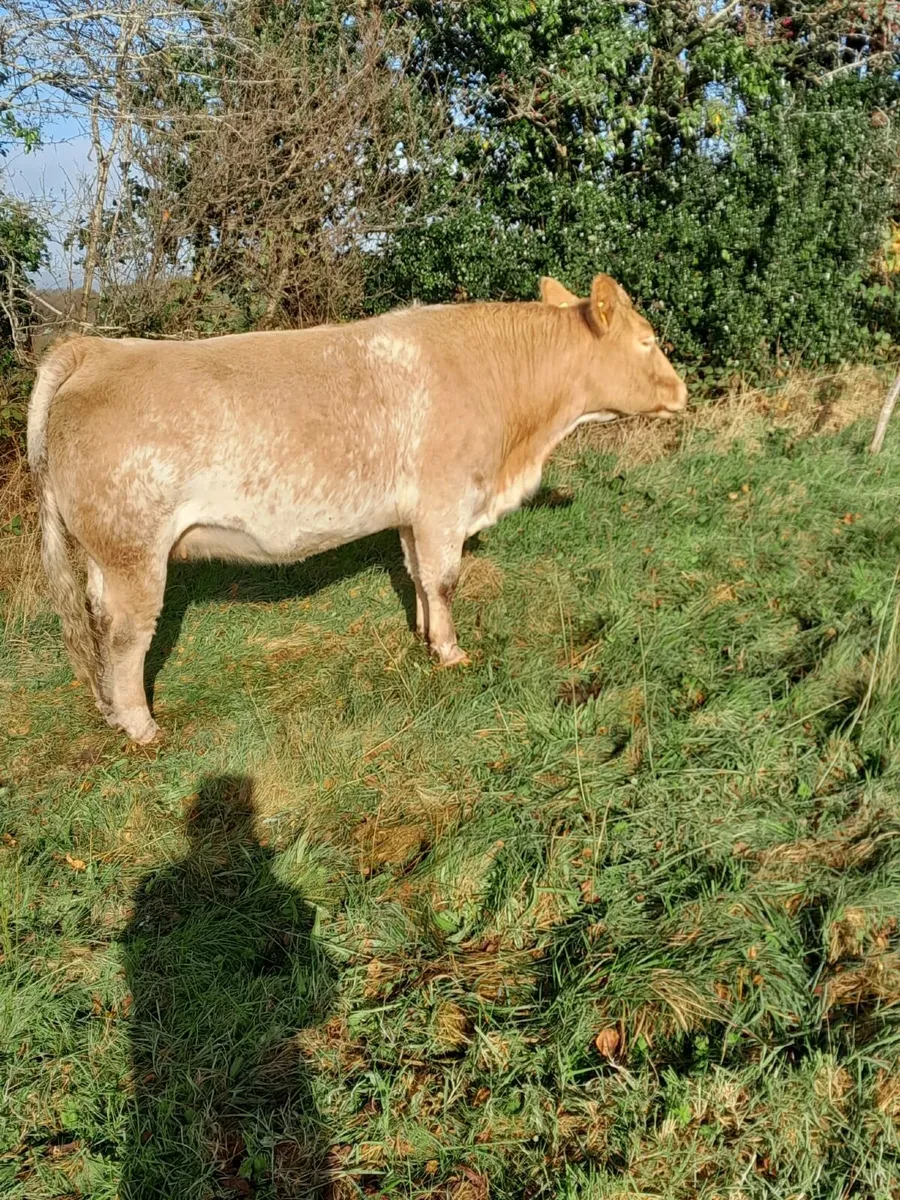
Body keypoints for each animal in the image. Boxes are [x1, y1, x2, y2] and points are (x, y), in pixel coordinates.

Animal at [27, 273, 687, 743]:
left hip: (103, 557)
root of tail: (96, 350)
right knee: (126, 638)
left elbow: (419, 577)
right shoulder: (446, 502)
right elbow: (445, 579)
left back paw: (112, 711)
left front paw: (424, 636)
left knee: (99, 624)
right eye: (648, 340)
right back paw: (140, 726)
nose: (682, 391)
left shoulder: (413, 514)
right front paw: (451, 653)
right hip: (133, 553)